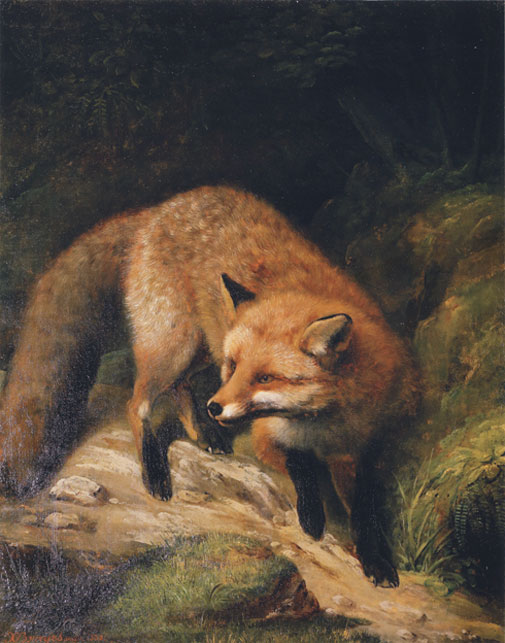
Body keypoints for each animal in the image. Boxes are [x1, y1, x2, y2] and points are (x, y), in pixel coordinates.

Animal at [0, 186, 419, 586]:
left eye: (265, 377)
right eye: (234, 367)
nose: (215, 407)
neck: (319, 420)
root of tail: (159, 209)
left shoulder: (355, 449)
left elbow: (365, 511)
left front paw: (377, 561)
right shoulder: (266, 438)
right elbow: (301, 467)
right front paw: (313, 518)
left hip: (200, 349)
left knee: (181, 386)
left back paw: (203, 434)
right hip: (176, 345)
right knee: (138, 403)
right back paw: (155, 470)